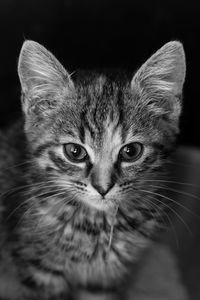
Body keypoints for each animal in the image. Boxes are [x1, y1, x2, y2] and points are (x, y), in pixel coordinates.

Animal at [0, 40, 184, 300]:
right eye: (75, 152)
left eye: (131, 151)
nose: (103, 187)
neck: (96, 226)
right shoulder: (39, 272)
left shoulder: (102, 280)